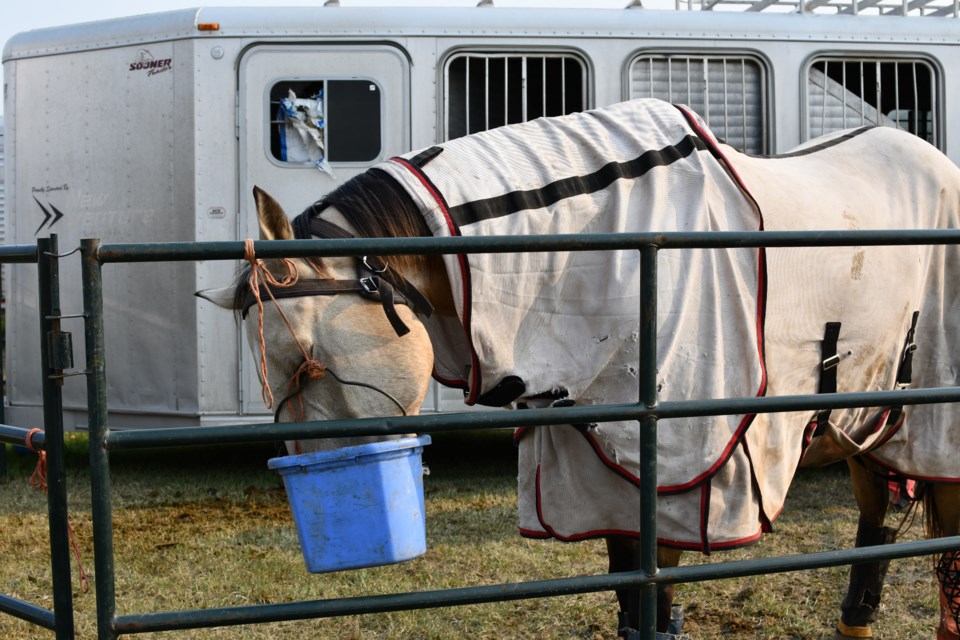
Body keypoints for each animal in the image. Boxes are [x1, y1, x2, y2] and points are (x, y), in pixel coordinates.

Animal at [197, 97, 960, 636]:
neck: (598, 252)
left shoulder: (677, 476)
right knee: (870, 550)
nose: (331, 518)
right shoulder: (604, 479)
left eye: (306, 363)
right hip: (870, 418)